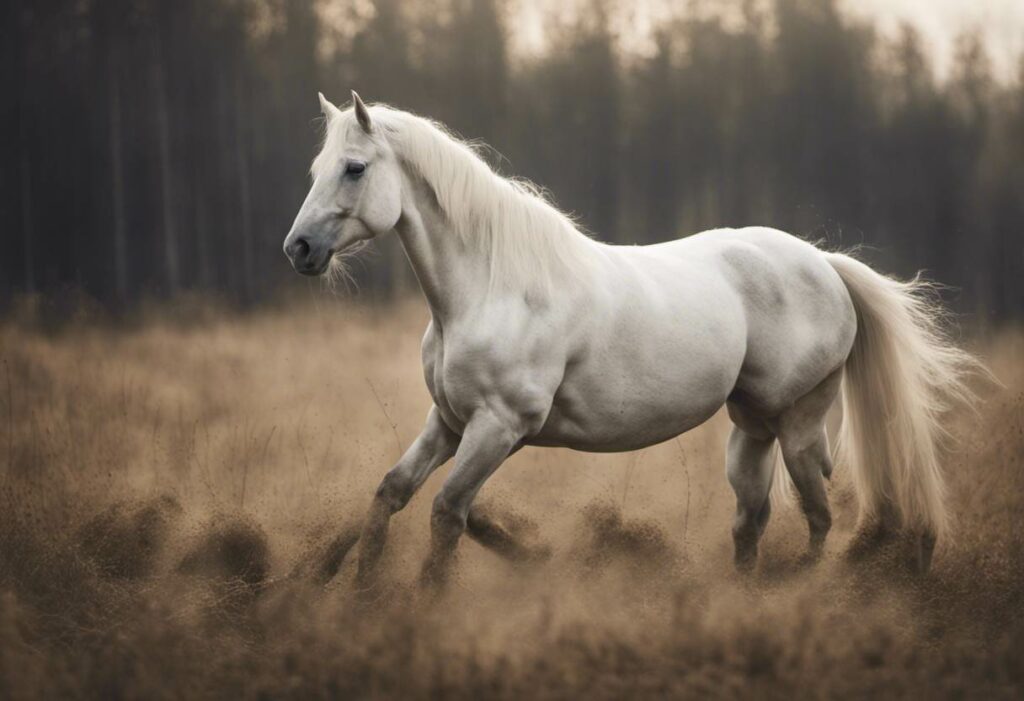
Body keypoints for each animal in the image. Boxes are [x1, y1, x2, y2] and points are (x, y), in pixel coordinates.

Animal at [280, 93, 974, 585]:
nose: (300, 249)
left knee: (819, 519)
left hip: (798, 427)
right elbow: (394, 494)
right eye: (316, 168)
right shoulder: (450, 422)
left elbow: (447, 514)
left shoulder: (500, 426)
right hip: (751, 433)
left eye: (354, 168)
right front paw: (359, 589)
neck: (490, 286)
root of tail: (825, 265)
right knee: (751, 524)